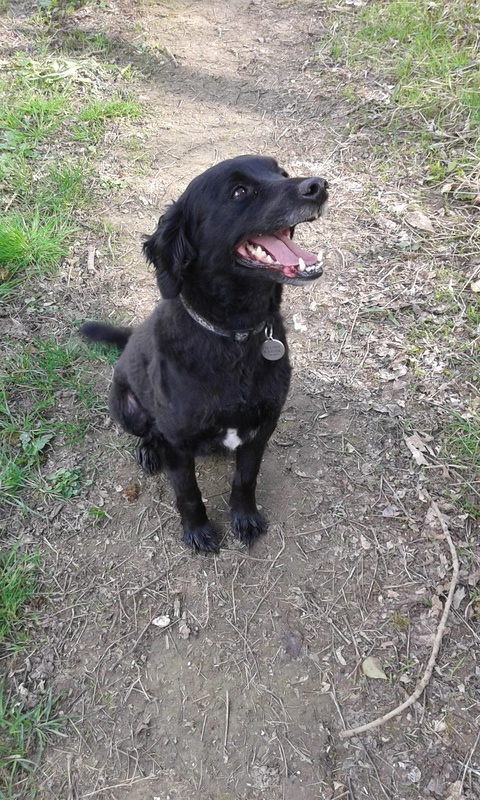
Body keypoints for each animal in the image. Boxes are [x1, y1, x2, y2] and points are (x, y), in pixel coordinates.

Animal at [82, 158, 328, 556]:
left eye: (282, 174)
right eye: (239, 192)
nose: (318, 186)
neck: (235, 335)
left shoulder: (262, 428)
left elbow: (245, 479)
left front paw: (244, 518)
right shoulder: (178, 444)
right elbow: (188, 493)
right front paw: (197, 530)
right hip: (125, 408)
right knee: (147, 432)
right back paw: (149, 450)